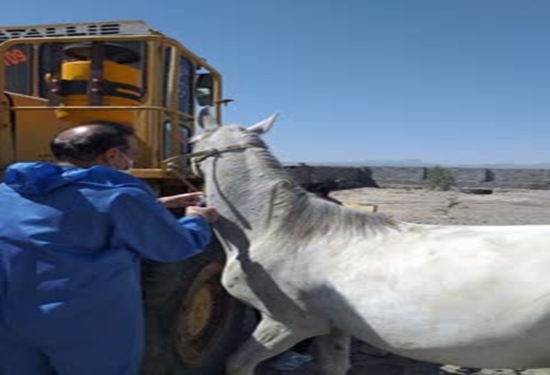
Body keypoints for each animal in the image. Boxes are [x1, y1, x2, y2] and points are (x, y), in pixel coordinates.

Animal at [187, 111, 550, 375]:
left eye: (190, 139)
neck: (279, 230)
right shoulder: (333, 329)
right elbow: (332, 368)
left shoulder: (288, 324)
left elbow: (237, 363)